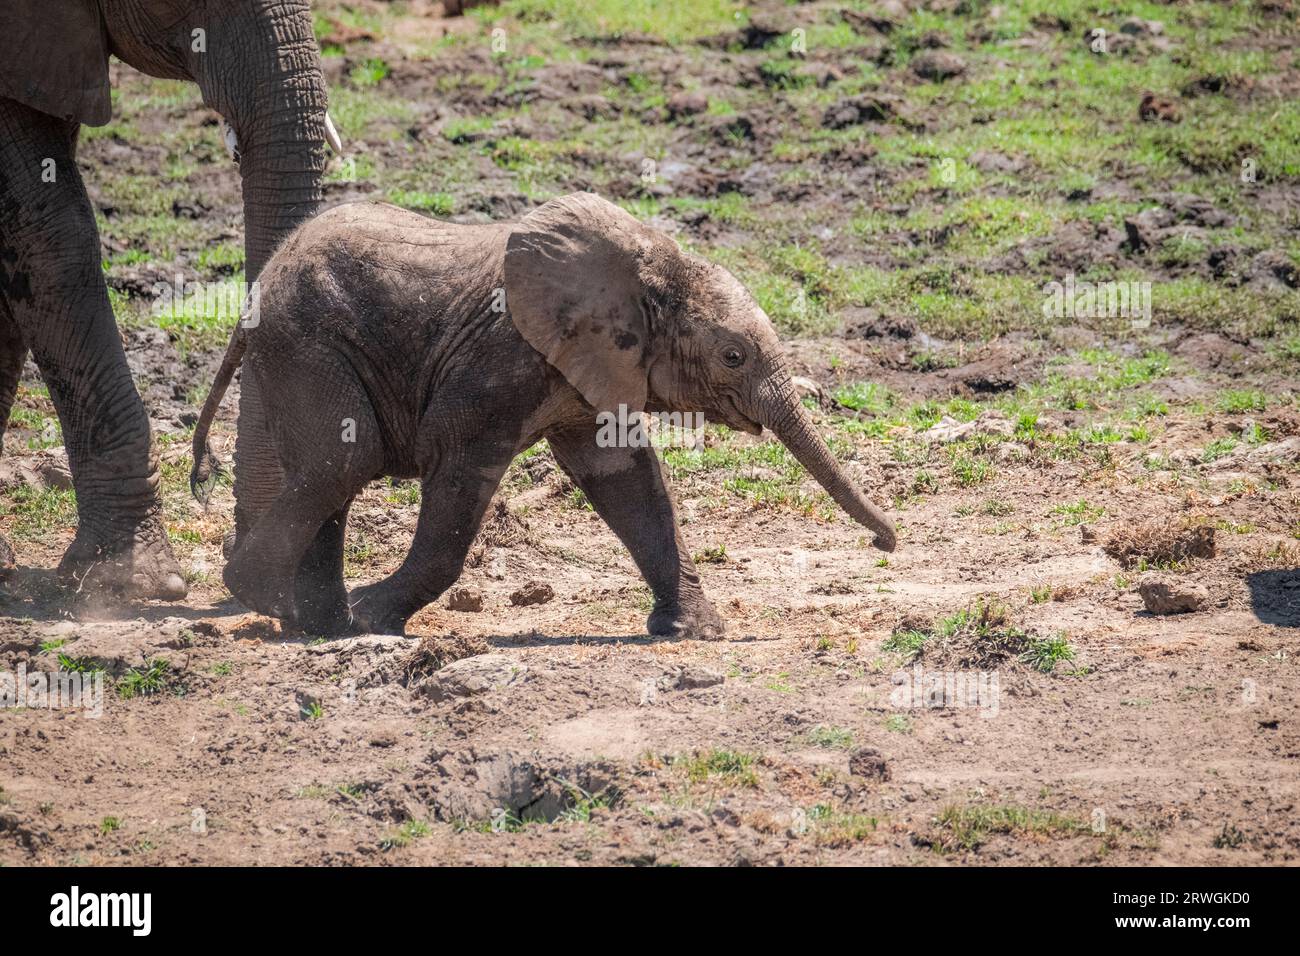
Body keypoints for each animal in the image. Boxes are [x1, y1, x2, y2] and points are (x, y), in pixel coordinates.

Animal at [189, 195, 894, 639]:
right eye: (733, 356)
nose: (886, 544)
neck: (656, 263)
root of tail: (256, 290)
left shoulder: (593, 368)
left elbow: (626, 476)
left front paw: (694, 631)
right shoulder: (499, 359)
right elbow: (459, 465)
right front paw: (375, 618)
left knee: (334, 470)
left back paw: (319, 624)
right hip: (307, 344)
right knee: (345, 459)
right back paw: (282, 606)